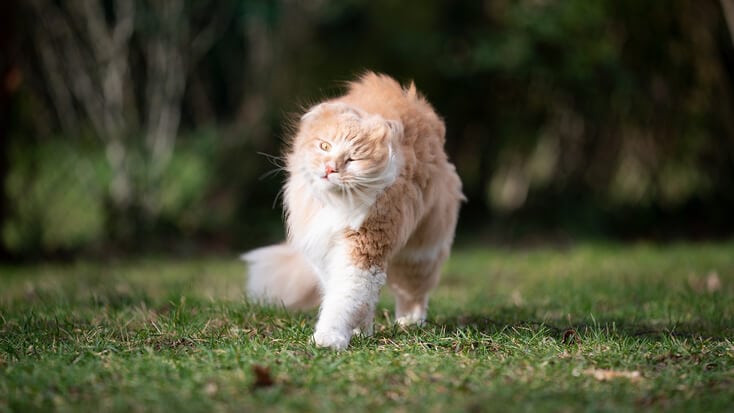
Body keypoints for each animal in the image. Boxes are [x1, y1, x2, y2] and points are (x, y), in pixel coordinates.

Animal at [247, 72, 466, 350]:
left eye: (353, 159)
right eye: (325, 146)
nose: (330, 168)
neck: (335, 204)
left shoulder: (362, 250)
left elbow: (343, 300)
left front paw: (329, 338)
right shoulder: (325, 253)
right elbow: (355, 300)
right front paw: (360, 332)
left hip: (418, 254)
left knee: (414, 293)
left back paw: (410, 322)